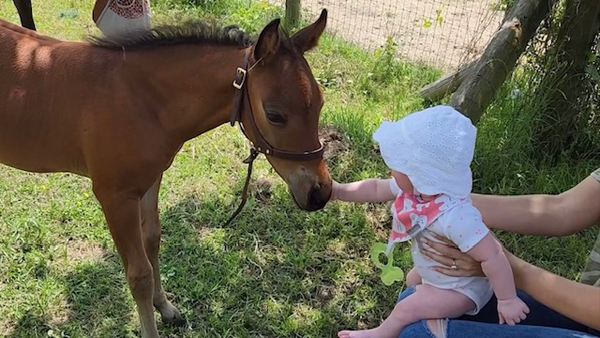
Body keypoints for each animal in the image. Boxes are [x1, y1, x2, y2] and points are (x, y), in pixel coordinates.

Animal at [0, 9, 330, 336]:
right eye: (274, 115)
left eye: (321, 103)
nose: (320, 192)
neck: (141, 100)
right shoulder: (114, 196)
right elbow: (139, 275)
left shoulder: (151, 180)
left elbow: (153, 239)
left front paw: (166, 307)